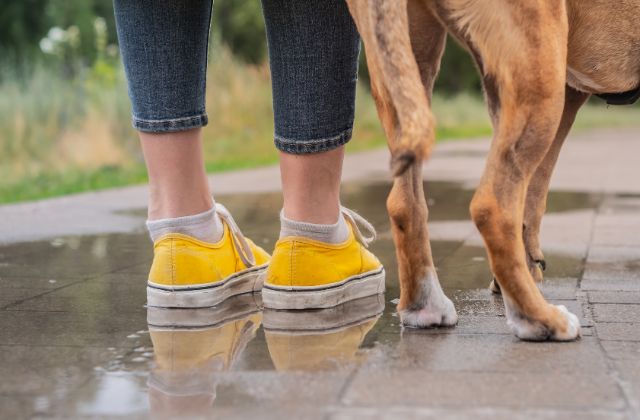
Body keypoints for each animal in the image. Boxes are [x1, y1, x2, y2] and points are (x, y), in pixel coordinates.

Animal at [344, 0, 640, 342]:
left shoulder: (569, 94)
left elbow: (534, 196)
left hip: (411, 67)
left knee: (405, 203)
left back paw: (426, 307)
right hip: (539, 68)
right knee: (493, 206)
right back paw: (540, 319)